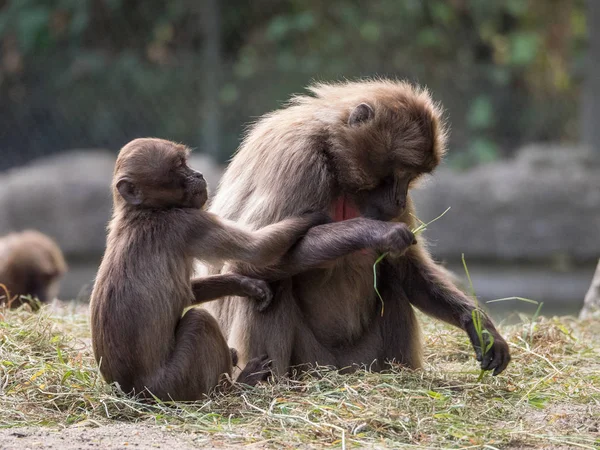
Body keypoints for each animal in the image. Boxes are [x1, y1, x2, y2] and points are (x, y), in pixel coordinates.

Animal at [89, 138, 326, 400]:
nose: (198, 174)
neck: (141, 212)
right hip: (174, 384)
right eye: (179, 166)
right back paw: (238, 385)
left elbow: (190, 294)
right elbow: (257, 250)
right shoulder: (186, 223)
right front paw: (314, 216)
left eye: (185, 163)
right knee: (199, 321)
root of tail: (132, 391)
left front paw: (244, 285)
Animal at [203, 80, 510, 376]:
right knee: (271, 282)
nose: (399, 201)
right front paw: (374, 232)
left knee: (391, 280)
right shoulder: (297, 159)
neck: (334, 158)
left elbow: (407, 269)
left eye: (410, 177)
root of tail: (341, 372)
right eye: (399, 172)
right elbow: (245, 263)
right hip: (311, 363)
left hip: (363, 360)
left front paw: (477, 323)